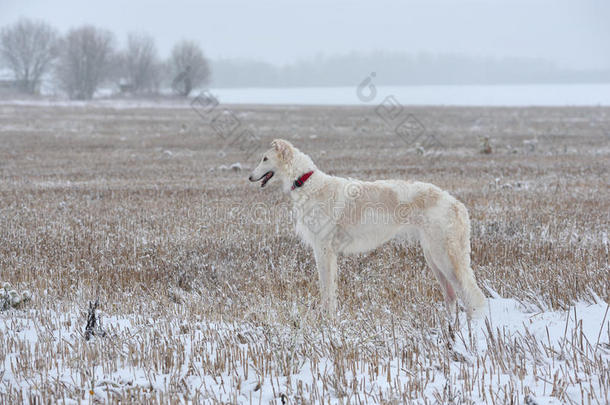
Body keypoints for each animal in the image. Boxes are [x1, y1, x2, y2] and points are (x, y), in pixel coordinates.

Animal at [247, 139, 484, 318]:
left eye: (264, 158)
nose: (249, 177)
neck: (306, 182)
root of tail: (457, 205)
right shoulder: (328, 252)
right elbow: (331, 288)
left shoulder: (323, 249)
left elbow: (326, 288)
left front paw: (326, 317)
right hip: (434, 258)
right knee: (453, 297)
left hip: (445, 257)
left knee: (472, 295)